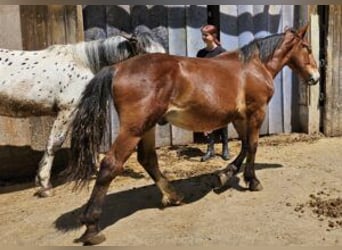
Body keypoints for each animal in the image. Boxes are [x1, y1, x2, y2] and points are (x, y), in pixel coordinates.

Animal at [67, 24, 320, 244]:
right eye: (307, 47)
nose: (316, 77)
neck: (254, 67)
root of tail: (117, 68)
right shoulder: (256, 111)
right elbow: (253, 145)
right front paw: (252, 180)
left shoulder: (239, 116)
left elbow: (245, 145)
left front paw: (224, 175)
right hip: (134, 129)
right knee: (111, 164)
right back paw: (92, 227)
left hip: (147, 127)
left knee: (147, 159)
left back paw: (173, 196)